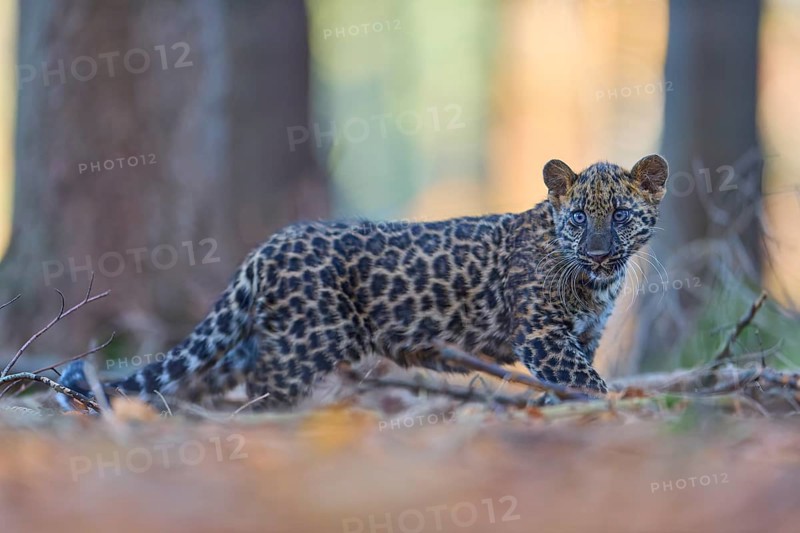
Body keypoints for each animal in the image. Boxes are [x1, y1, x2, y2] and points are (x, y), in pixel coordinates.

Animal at [58, 154, 668, 411]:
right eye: (579, 218)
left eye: (619, 215)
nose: (599, 252)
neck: (596, 283)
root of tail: (267, 246)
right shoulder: (544, 335)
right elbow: (585, 380)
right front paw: (613, 409)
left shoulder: (583, 334)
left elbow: (579, 375)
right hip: (308, 341)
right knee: (263, 383)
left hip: (269, 334)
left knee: (215, 370)